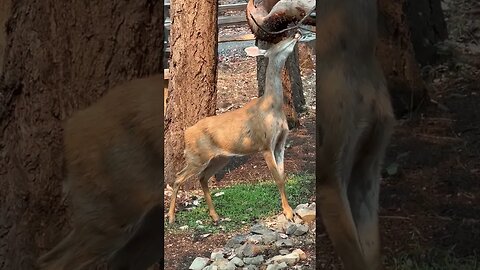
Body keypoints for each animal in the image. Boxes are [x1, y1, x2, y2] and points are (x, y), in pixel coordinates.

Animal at [167, 32, 306, 226]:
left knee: (202, 177)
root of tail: (186, 132)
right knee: (178, 178)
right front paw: (288, 213)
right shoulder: (264, 144)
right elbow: (277, 178)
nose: (296, 34)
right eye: (277, 43)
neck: (272, 107)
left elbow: (282, 176)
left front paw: (290, 210)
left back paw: (215, 216)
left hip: (220, 158)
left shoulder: (280, 142)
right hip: (197, 156)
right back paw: (172, 217)